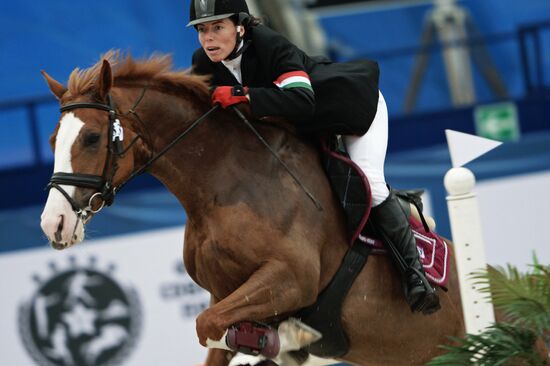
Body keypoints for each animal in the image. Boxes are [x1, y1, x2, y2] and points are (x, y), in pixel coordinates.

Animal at [40, 52, 466, 366]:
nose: (53, 224)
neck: (221, 186)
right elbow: (214, 330)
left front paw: (286, 338)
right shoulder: (225, 294)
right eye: (52, 140)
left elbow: (208, 326)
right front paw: (281, 341)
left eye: (92, 137)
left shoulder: (292, 277)